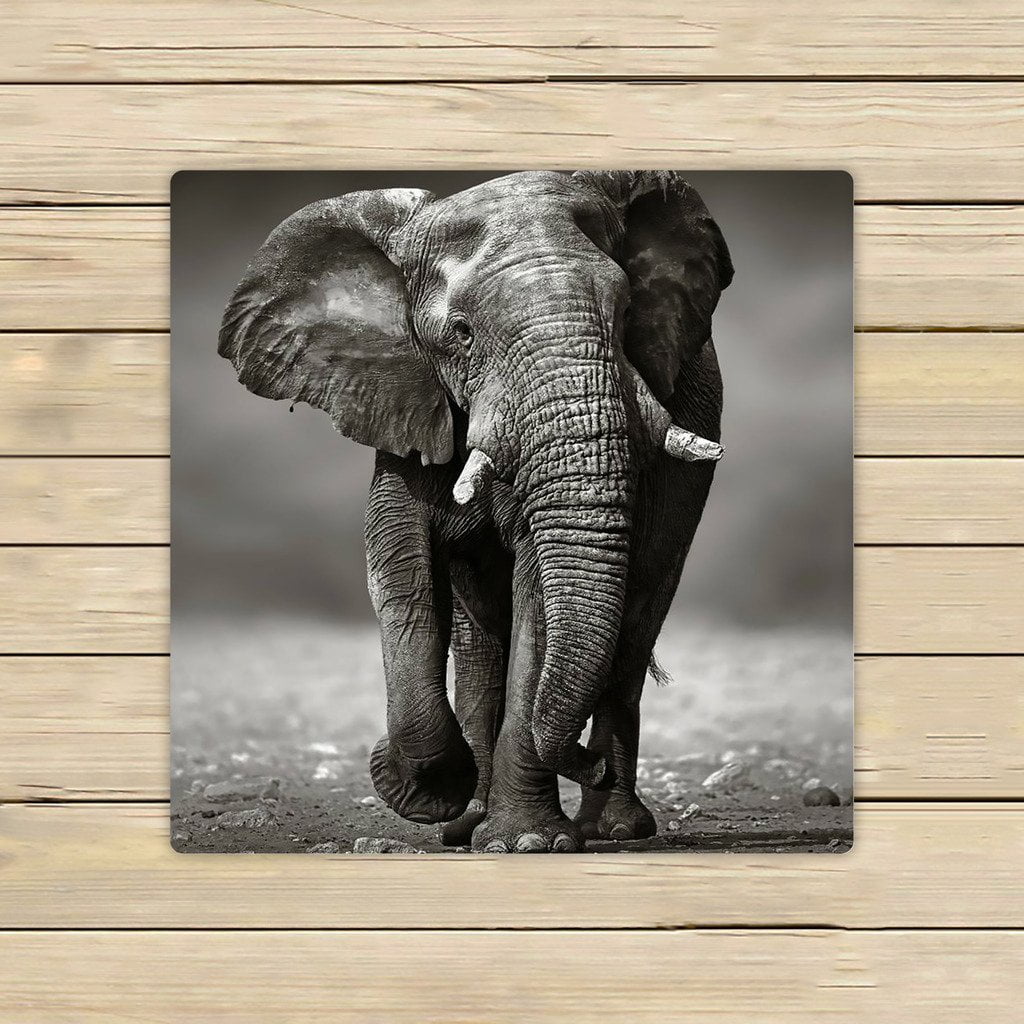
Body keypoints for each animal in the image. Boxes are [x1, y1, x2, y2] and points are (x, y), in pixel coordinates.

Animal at [218, 170, 733, 852]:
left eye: (626, 317)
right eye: (461, 333)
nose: (587, 765)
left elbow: (537, 592)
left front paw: (528, 842)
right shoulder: (406, 401)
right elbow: (399, 570)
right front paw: (428, 793)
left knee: (636, 619)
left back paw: (614, 828)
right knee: (482, 640)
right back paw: (468, 823)